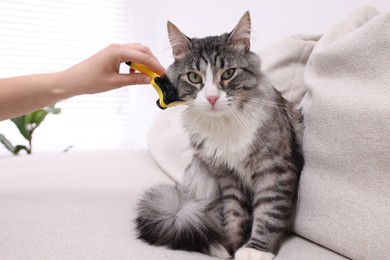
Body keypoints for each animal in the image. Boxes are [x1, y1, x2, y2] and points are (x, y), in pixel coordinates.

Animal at [136, 11, 304, 258]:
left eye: (229, 73)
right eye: (194, 77)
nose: (212, 97)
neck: (224, 124)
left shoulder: (274, 170)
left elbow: (269, 212)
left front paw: (256, 250)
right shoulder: (227, 176)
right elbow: (233, 215)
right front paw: (229, 244)